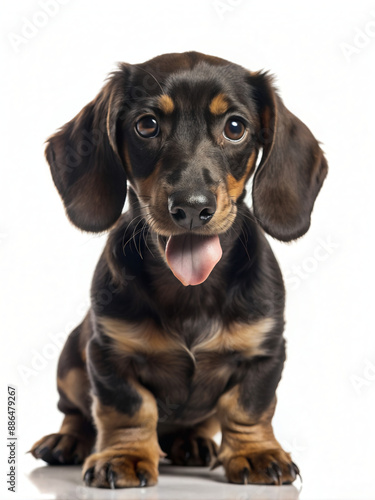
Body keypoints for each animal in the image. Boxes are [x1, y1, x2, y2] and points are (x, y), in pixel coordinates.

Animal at [30, 52, 328, 486]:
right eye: (147, 125)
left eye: (235, 127)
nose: (191, 207)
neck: (190, 290)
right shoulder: (108, 353)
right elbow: (128, 409)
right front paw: (124, 456)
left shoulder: (265, 352)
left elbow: (248, 406)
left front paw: (255, 453)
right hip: (70, 359)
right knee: (75, 412)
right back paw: (67, 441)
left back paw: (193, 442)